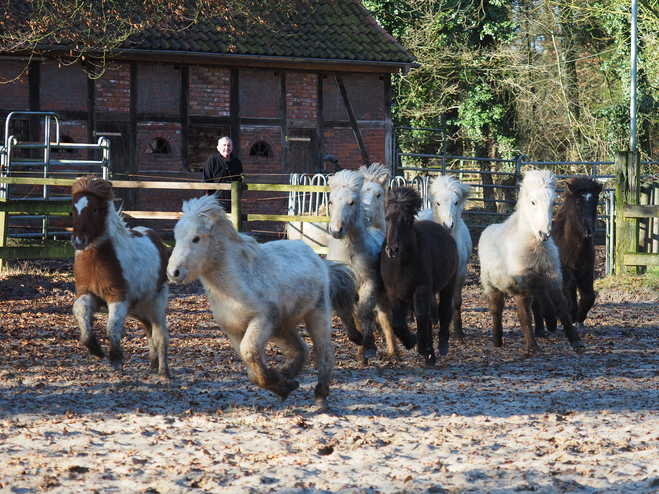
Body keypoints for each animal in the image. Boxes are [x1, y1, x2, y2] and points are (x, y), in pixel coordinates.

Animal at [168, 194, 358, 410]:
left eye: (196, 238)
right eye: (176, 237)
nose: (173, 273)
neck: (236, 283)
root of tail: (320, 262)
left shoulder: (262, 319)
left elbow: (249, 352)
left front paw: (280, 383)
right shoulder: (234, 330)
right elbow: (251, 370)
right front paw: (282, 386)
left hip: (316, 314)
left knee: (324, 352)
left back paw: (320, 396)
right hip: (281, 327)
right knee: (300, 350)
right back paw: (287, 378)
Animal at [326, 169, 398, 362]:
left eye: (352, 202)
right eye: (331, 201)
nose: (336, 230)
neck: (350, 253)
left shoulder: (369, 285)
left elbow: (364, 313)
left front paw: (370, 347)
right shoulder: (344, 288)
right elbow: (349, 315)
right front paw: (358, 344)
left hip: (383, 295)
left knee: (386, 318)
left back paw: (394, 353)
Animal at [382, 187, 458, 364]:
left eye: (406, 219)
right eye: (386, 218)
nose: (392, 250)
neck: (403, 264)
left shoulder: (421, 289)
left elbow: (422, 316)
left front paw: (423, 347)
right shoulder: (394, 293)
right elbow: (398, 323)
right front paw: (412, 342)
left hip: (448, 285)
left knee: (444, 310)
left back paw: (442, 345)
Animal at [480, 170, 584, 352]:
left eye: (553, 201)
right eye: (533, 202)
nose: (545, 233)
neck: (534, 246)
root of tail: (486, 231)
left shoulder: (552, 275)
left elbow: (560, 303)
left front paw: (575, 340)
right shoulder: (524, 275)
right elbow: (541, 289)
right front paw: (551, 321)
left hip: (521, 294)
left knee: (524, 317)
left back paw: (532, 347)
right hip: (493, 287)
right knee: (496, 311)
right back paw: (497, 341)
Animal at [532, 176, 604, 334]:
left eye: (595, 202)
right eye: (578, 203)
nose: (588, 230)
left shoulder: (586, 272)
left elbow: (589, 296)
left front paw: (580, 318)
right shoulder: (565, 271)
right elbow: (569, 288)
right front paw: (571, 315)